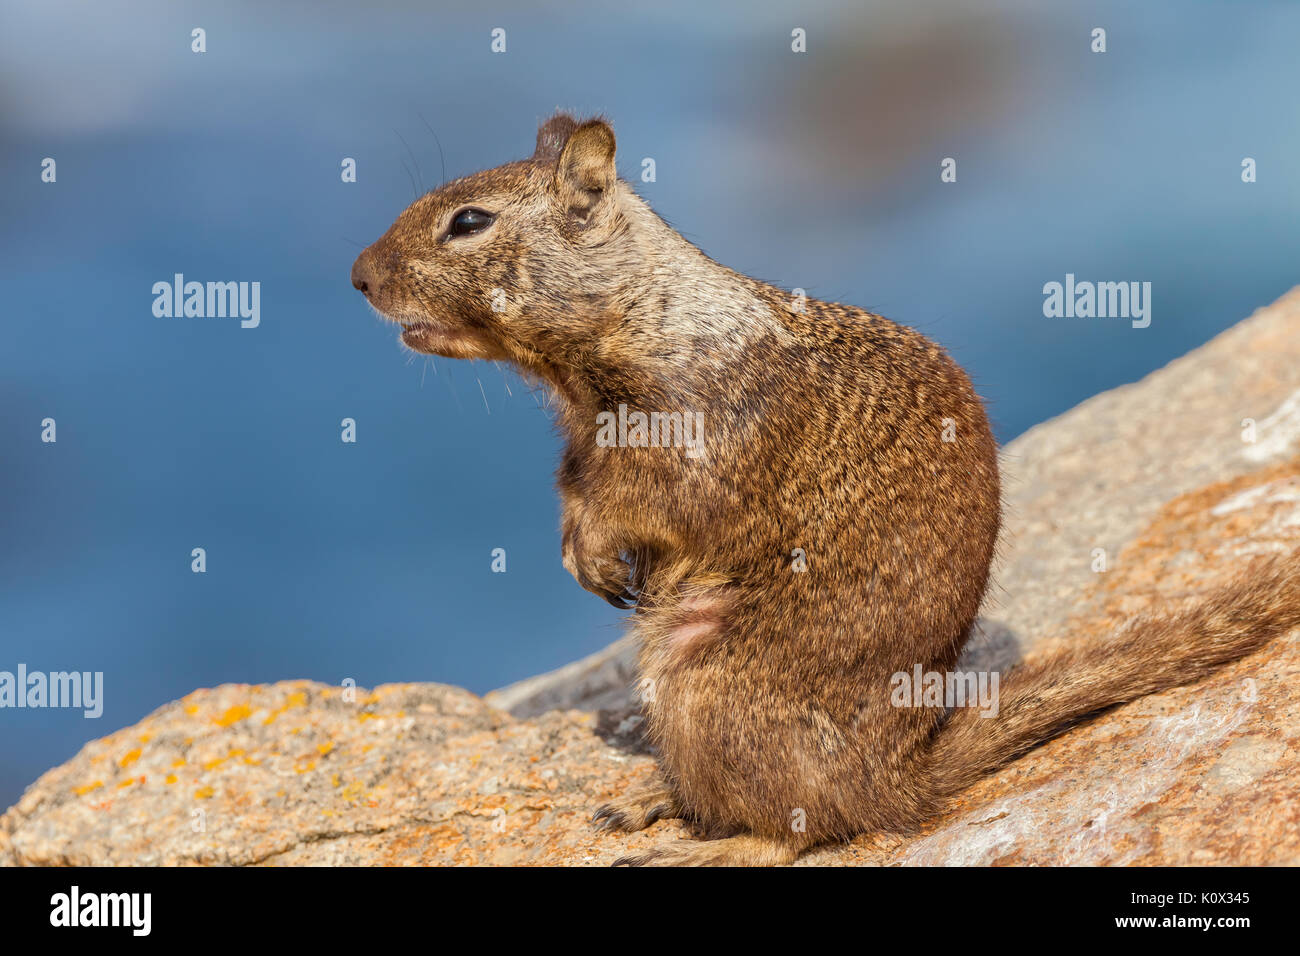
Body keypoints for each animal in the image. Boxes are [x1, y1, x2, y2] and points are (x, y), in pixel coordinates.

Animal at [351, 111, 1300, 868]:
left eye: (468, 222)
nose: (359, 275)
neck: (630, 327)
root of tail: (898, 777)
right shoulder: (580, 448)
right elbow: (573, 492)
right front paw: (577, 552)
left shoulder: (694, 441)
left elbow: (652, 503)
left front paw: (597, 550)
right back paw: (655, 798)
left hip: (708, 687)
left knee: (802, 828)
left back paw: (702, 846)